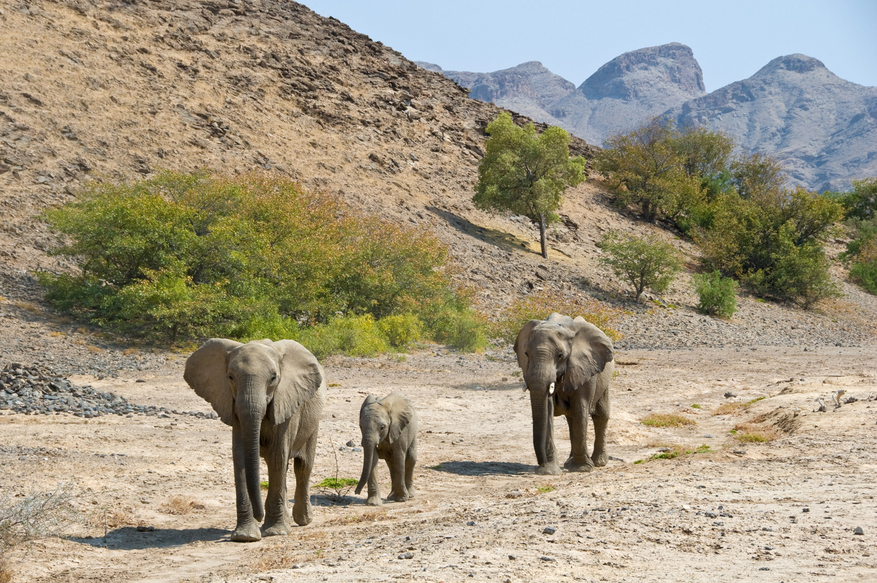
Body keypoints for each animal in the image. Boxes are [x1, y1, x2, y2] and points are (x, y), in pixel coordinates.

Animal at [183, 338, 326, 544]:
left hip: (313, 420)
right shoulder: (233, 404)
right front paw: (245, 536)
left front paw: (274, 532)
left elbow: (277, 456)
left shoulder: (285, 401)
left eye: (273, 378)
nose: (259, 516)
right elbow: (240, 457)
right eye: (230, 377)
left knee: (303, 466)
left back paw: (303, 520)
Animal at [510, 314, 612, 474]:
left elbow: (581, 409)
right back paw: (569, 463)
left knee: (600, 415)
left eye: (560, 355)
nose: (541, 464)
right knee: (571, 419)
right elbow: (548, 410)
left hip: (604, 377)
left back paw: (598, 462)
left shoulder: (585, 368)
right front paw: (549, 471)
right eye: (526, 354)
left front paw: (581, 469)